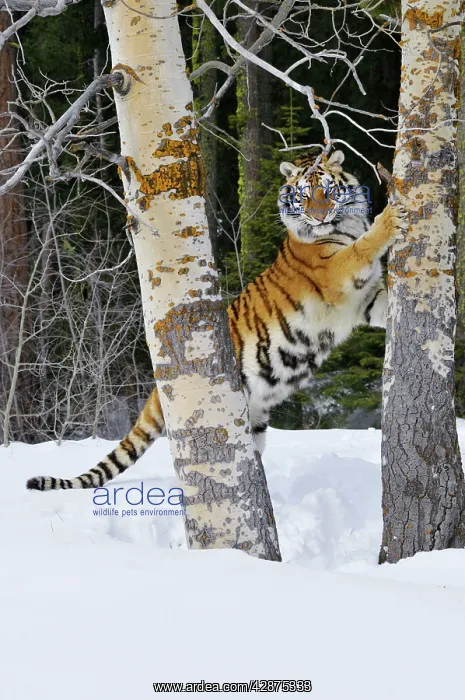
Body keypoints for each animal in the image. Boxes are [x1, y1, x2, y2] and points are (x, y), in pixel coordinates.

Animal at [26, 148, 407, 492]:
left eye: (327, 191)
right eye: (303, 196)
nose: (320, 215)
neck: (345, 224)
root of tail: (156, 390)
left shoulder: (364, 300)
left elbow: (383, 300)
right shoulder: (336, 271)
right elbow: (363, 246)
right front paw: (391, 216)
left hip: (255, 420)